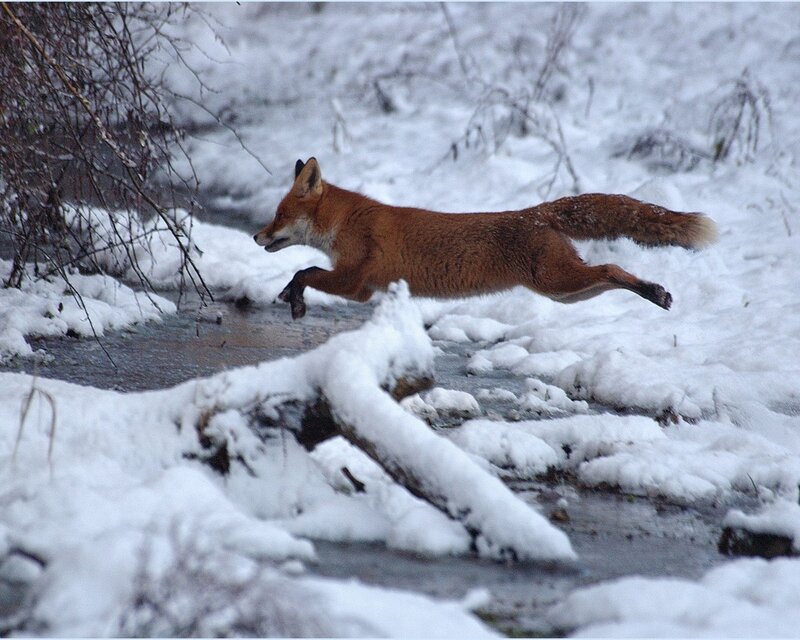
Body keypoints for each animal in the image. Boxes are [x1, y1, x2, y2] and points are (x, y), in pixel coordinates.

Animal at [254, 157, 717, 320]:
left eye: (279, 215)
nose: (256, 236)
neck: (348, 222)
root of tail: (534, 213)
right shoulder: (361, 287)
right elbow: (304, 270)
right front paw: (291, 297)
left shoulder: (356, 282)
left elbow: (305, 270)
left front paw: (296, 300)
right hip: (565, 291)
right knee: (609, 274)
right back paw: (653, 293)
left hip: (557, 281)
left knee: (614, 267)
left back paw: (655, 292)